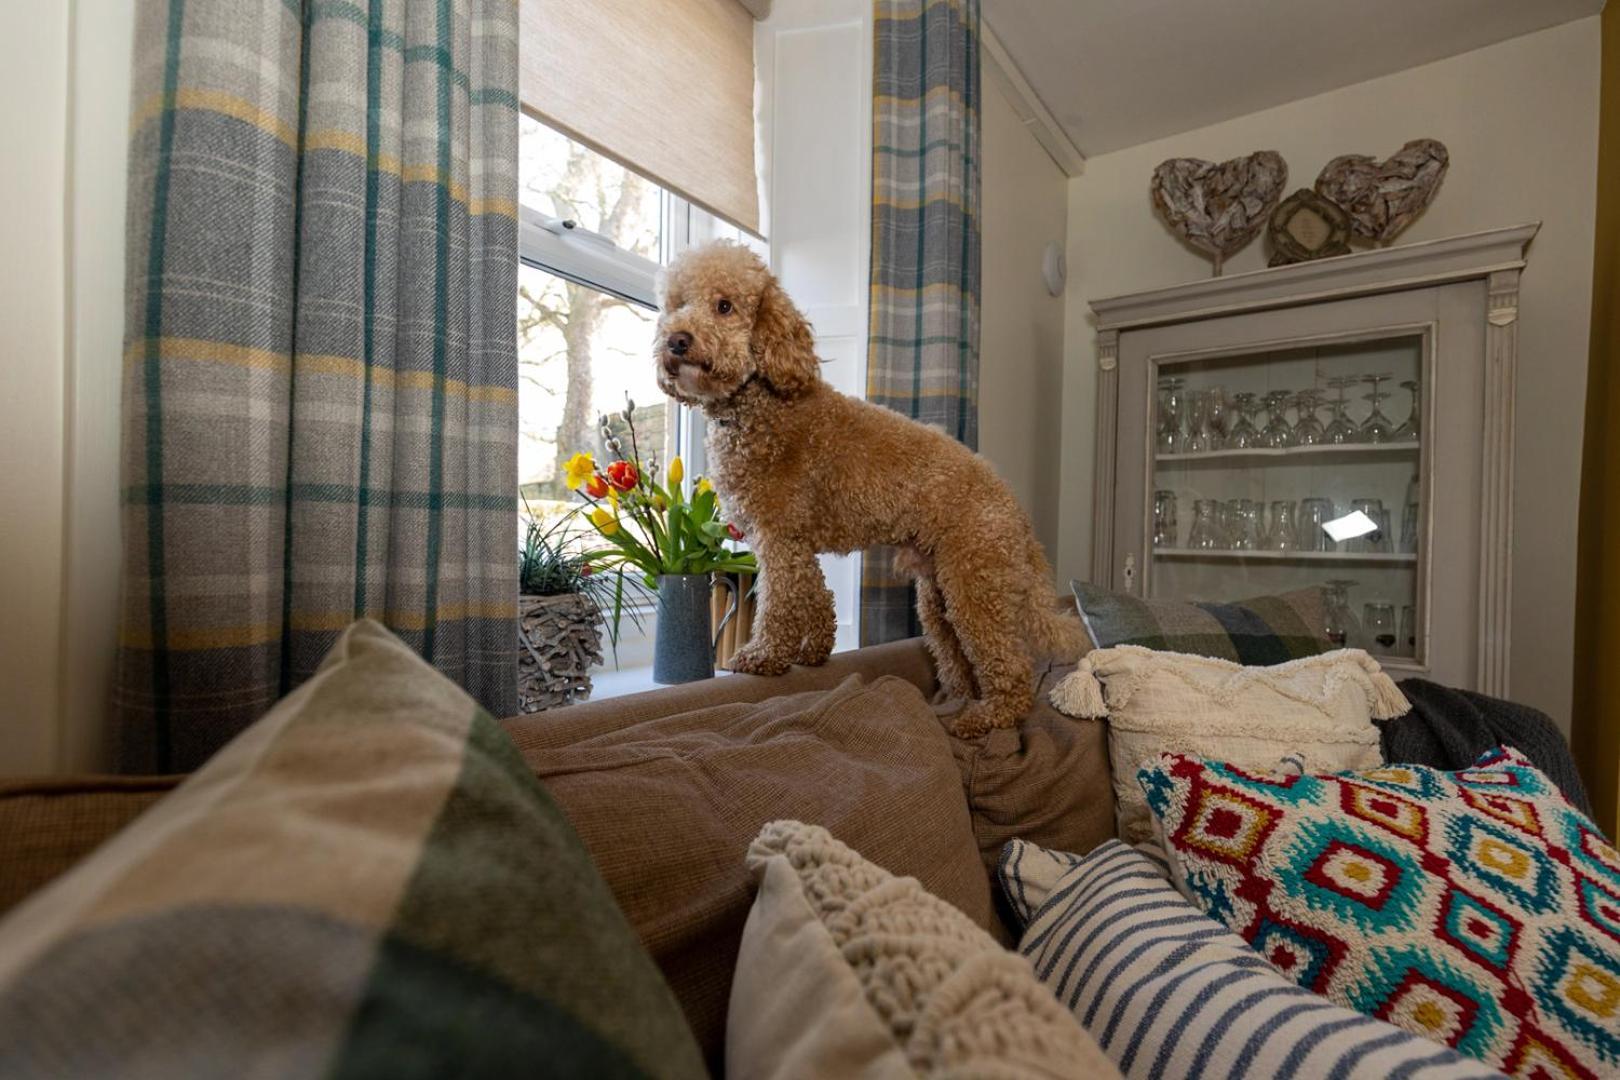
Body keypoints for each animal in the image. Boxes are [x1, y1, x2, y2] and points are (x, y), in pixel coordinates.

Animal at [651, 242, 1082, 735]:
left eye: (724, 306)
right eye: (676, 305)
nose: (676, 340)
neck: (760, 405)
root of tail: (1014, 506)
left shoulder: (778, 538)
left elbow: (779, 604)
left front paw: (764, 655)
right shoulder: (797, 545)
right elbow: (815, 595)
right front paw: (814, 651)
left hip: (974, 582)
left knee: (1010, 666)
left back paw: (988, 717)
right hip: (939, 594)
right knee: (959, 657)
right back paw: (958, 698)